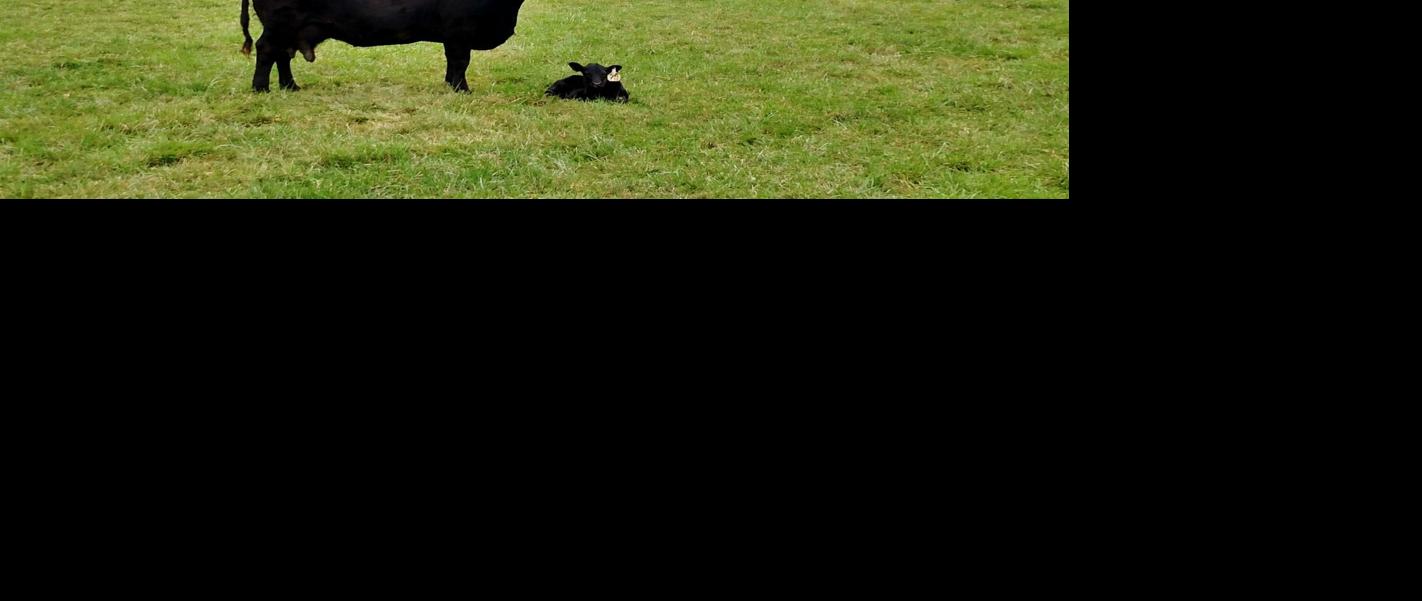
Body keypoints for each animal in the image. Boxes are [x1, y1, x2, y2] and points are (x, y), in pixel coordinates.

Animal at [240, 0, 527, 93]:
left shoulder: (453, 35)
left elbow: (452, 62)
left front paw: (449, 84)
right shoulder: (459, 31)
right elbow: (460, 61)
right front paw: (462, 90)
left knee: (282, 56)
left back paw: (291, 86)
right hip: (280, 24)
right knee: (267, 50)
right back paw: (261, 88)